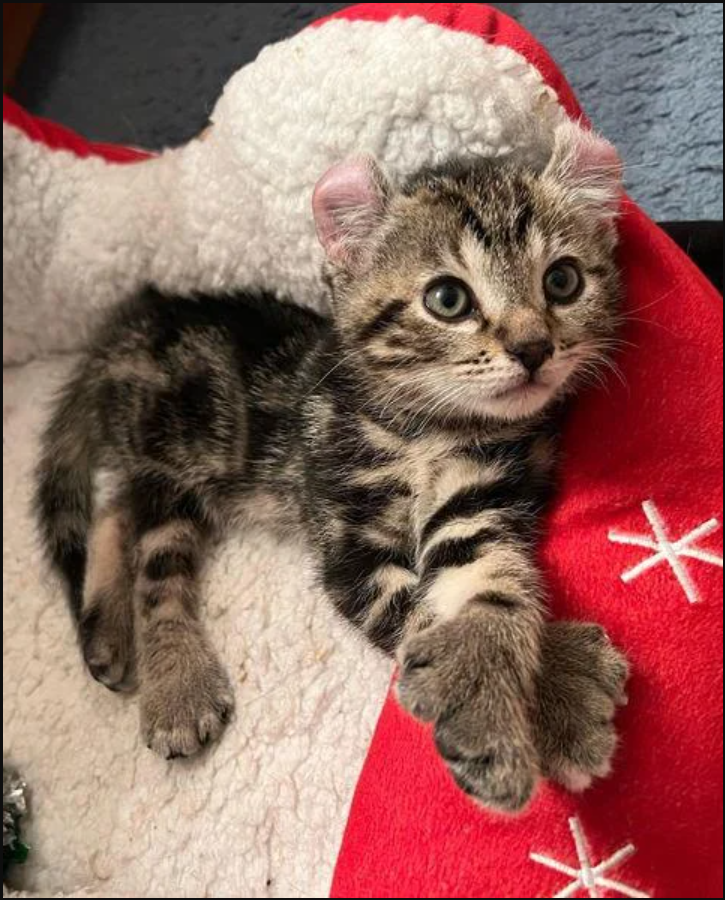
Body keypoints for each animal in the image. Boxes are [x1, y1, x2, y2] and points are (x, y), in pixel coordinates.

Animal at [36, 123, 628, 812]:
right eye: (448, 299)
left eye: (562, 282)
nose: (533, 348)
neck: (426, 426)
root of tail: (133, 326)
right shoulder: (346, 534)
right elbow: (422, 610)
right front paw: (554, 694)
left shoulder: (481, 492)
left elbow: (483, 579)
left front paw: (546, 687)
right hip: (181, 451)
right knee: (155, 565)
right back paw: (173, 684)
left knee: (114, 506)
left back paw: (106, 632)